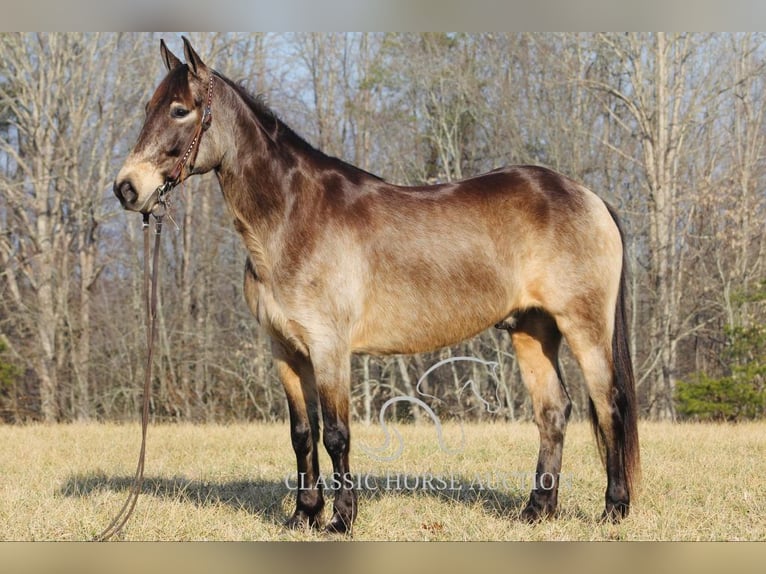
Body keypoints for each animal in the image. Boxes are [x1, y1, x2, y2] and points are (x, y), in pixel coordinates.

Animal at [115, 38, 640, 536]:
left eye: (179, 109)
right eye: (147, 107)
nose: (126, 188)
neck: (292, 219)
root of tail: (590, 198)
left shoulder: (328, 347)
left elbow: (336, 434)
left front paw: (341, 520)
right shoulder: (285, 350)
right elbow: (301, 434)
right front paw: (304, 515)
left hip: (583, 327)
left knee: (608, 406)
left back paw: (614, 509)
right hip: (532, 329)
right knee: (553, 411)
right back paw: (537, 510)